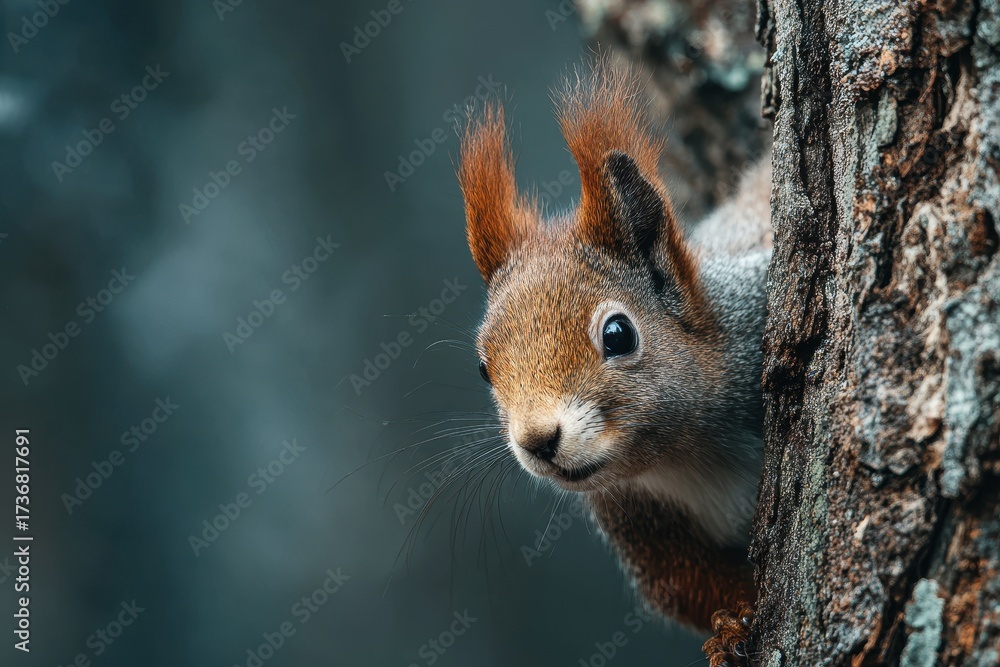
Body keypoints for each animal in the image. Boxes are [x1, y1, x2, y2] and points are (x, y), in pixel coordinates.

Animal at [457, 59, 771, 664]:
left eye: (618, 334)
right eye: (484, 368)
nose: (538, 441)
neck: (684, 455)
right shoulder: (635, 520)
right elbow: (685, 587)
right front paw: (735, 620)